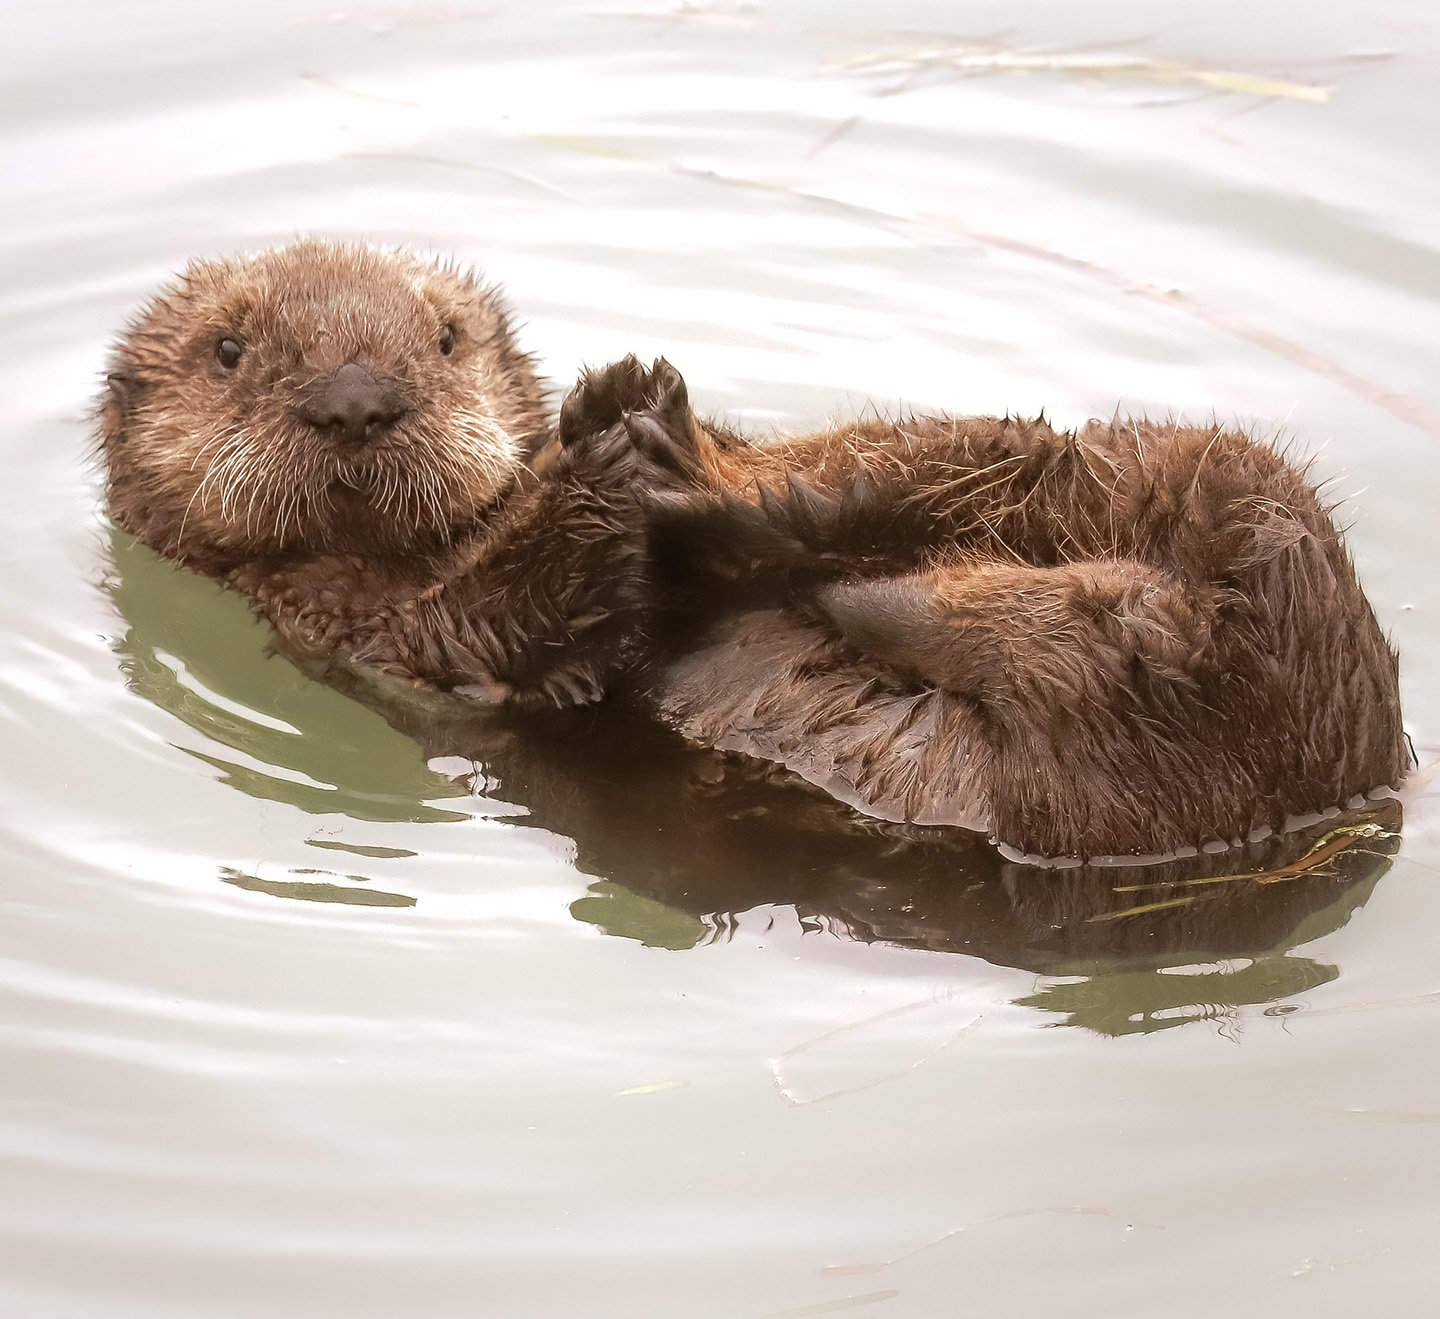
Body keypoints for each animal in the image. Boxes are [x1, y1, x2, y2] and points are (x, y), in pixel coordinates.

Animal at [98, 240, 1408, 860]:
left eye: (446, 336)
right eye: (228, 349)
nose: (358, 398)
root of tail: (1298, 801)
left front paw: (613, 412)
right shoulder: (386, 643)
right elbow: (504, 623)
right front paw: (594, 473)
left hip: (1192, 477)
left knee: (1003, 458)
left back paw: (732, 484)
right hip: (1138, 720)